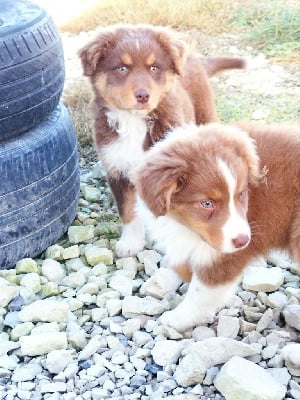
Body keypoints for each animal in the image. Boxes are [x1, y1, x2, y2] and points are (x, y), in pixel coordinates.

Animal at [78, 23, 245, 258]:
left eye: (154, 68)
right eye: (122, 68)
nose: (142, 95)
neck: (134, 122)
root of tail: (195, 57)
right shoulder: (117, 168)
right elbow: (128, 211)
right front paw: (130, 242)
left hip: (204, 113)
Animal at [134, 122, 300, 332]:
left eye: (241, 194)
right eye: (207, 203)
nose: (243, 241)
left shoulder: (221, 258)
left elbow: (201, 292)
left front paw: (177, 318)